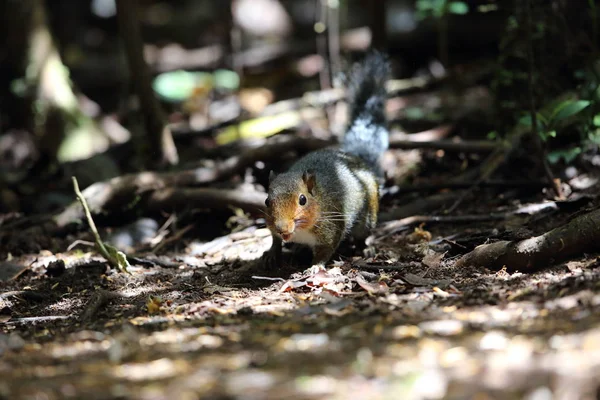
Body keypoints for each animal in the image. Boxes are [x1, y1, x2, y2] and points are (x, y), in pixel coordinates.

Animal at [262, 50, 390, 268]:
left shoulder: (332, 227)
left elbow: (325, 251)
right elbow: (274, 239)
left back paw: (366, 248)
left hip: (368, 215)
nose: (282, 228)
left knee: (362, 234)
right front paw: (272, 252)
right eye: (266, 201)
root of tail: (355, 159)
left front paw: (315, 267)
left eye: (303, 199)